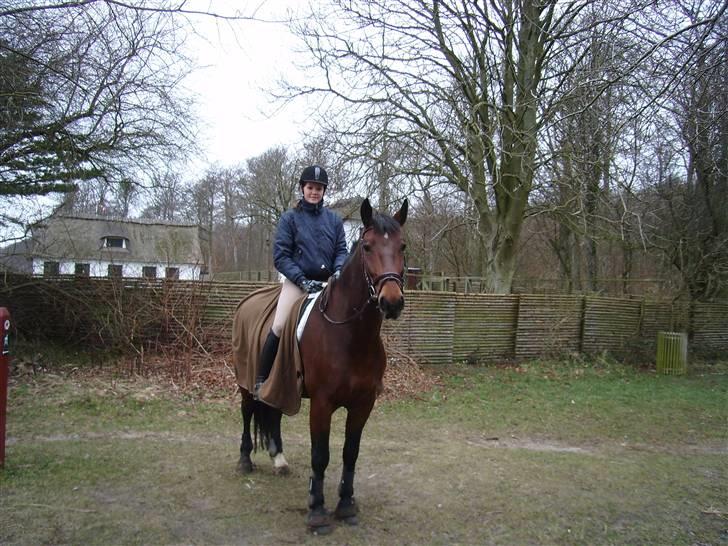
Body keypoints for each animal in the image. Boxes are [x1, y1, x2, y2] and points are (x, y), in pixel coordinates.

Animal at [235, 197, 406, 532]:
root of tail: (248, 301)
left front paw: (346, 506)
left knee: (274, 413)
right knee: (248, 412)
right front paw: (316, 511)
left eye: (403, 245)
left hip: (281, 381)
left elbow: (350, 454)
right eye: (367, 246)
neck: (349, 335)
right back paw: (245, 461)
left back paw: (279, 459)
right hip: (246, 382)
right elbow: (320, 456)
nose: (391, 302)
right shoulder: (322, 403)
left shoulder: (363, 404)